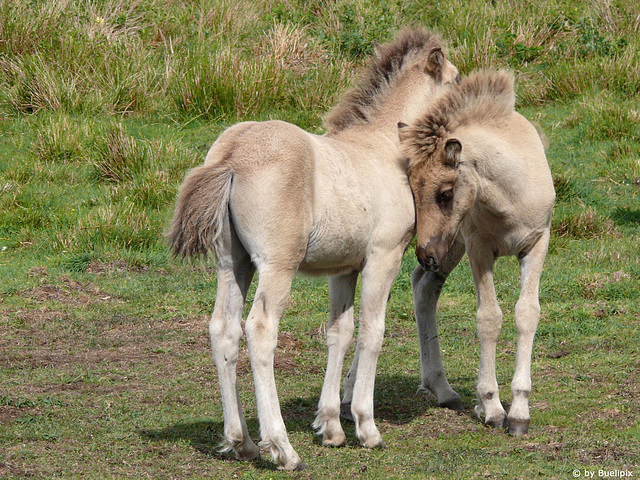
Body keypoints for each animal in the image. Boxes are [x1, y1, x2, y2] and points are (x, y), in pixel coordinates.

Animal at [169, 29, 460, 468]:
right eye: (456, 83)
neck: (383, 149)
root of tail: (233, 154)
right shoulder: (383, 257)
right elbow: (373, 331)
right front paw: (366, 427)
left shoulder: (344, 267)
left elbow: (340, 332)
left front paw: (331, 426)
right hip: (277, 265)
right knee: (259, 330)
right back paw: (281, 447)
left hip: (233, 263)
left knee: (223, 329)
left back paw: (242, 441)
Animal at [400, 70, 556, 436]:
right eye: (411, 192)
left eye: (445, 193)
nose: (424, 253)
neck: (510, 196)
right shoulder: (479, 248)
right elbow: (489, 318)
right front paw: (492, 407)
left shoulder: (537, 243)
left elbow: (527, 313)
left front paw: (520, 412)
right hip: (453, 244)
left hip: (449, 247)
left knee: (424, 285)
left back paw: (441, 389)